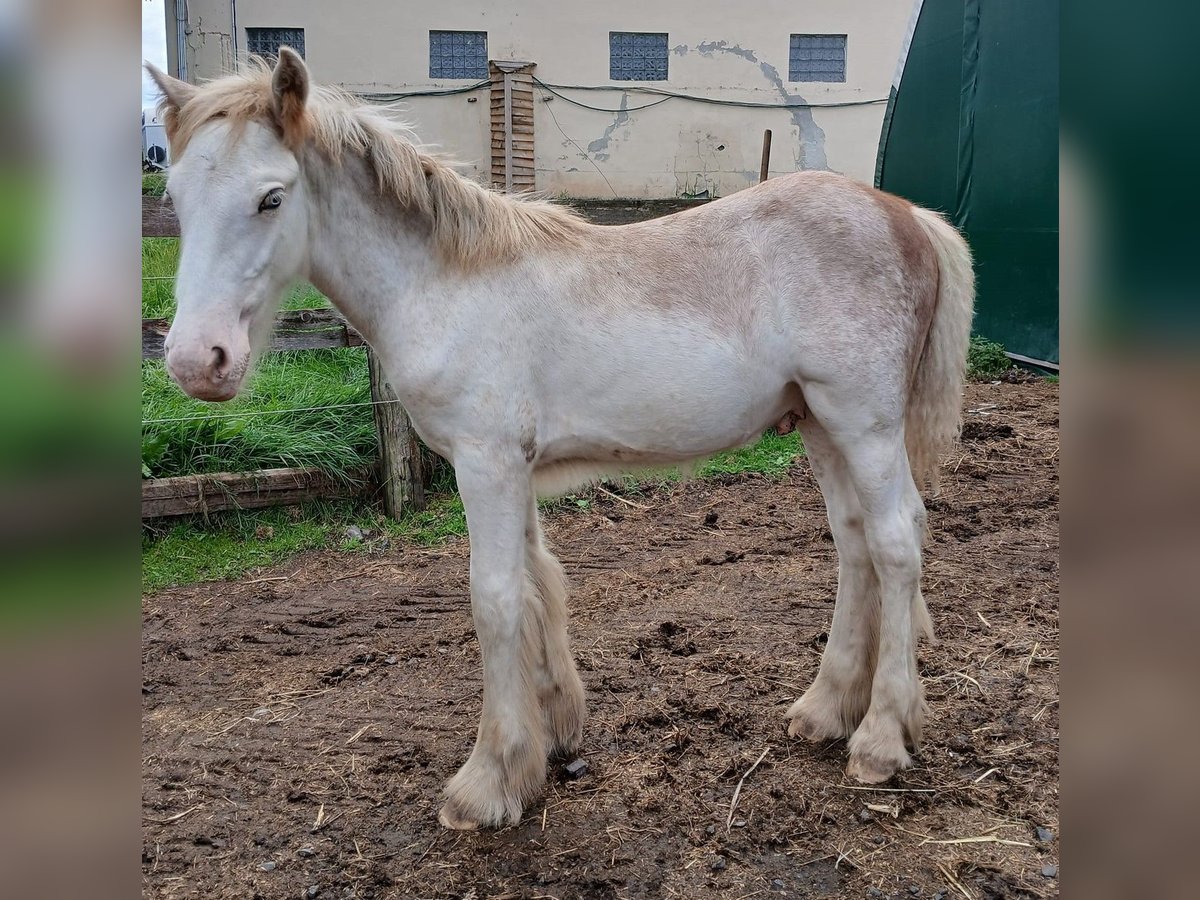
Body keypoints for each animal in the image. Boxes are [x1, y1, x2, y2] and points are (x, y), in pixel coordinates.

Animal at [147, 51, 974, 830]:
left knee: (896, 544)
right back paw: (826, 710)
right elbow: (537, 584)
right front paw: (551, 741)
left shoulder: (484, 465)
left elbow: (494, 599)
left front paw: (486, 782)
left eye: (271, 197)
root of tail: (906, 214)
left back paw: (881, 739)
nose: (196, 361)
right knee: (856, 544)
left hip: (864, 425)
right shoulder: (513, 470)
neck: (446, 282)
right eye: (175, 198)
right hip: (822, 428)